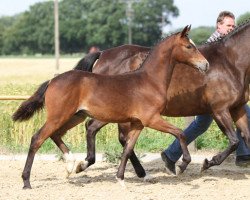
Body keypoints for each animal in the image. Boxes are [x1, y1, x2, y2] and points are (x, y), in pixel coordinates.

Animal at [12, 25, 208, 189]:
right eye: (189, 46)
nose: (205, 64)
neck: (149, 80)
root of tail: (53, 80)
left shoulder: (138, 123)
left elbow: (127, 148)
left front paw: (120, 179)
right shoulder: (151, 119)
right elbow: (180, 133)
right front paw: (182, 164)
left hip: (76, 116)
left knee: (56, 134)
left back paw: (71, 165)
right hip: (59, 116)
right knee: (37, 139)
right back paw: (27, 181)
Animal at [71, 20, 250, 177]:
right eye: (188, 46)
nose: (205, 66)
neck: (230, 62)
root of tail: (103, 54)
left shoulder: (237, 108)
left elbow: (246, 136)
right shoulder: (220, 110)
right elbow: (234, 141)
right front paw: (207, 163)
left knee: (96, 129)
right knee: (112, 135)